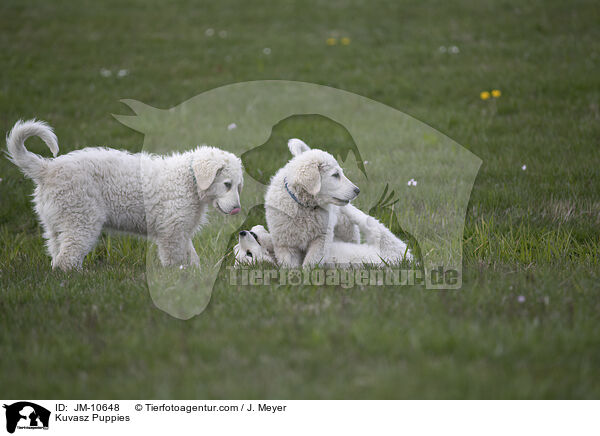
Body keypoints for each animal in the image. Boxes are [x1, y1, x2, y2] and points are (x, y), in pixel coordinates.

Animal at [4, 119, 244, 270]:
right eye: (227, 184)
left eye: (238, 186)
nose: (236, 208)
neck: (188, 180)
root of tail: (47, 169)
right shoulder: (172, 230)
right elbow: (174, 258)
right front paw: (177, 278)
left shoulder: (180, 228)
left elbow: (190, 254)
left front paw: (194, 272)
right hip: (81, 218)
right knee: (67, 258)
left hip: (56, 221)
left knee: (57, 253)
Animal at [264, 138, 358, 268]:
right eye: (335, 175)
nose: (357, 190)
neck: (304, 206)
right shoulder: (286, 242)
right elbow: (289, 264)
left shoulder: (321, 238)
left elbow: (312, 260)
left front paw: (309, 271)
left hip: (345, 225)